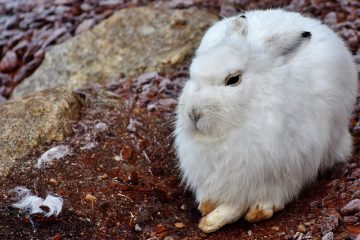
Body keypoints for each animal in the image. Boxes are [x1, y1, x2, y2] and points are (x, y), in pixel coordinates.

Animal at [174, 8, 358, 232]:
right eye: (192, 74)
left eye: (233, 79)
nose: (193, 113)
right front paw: (208, 210)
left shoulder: (281, 174)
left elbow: (247, 202)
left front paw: (225, 218)